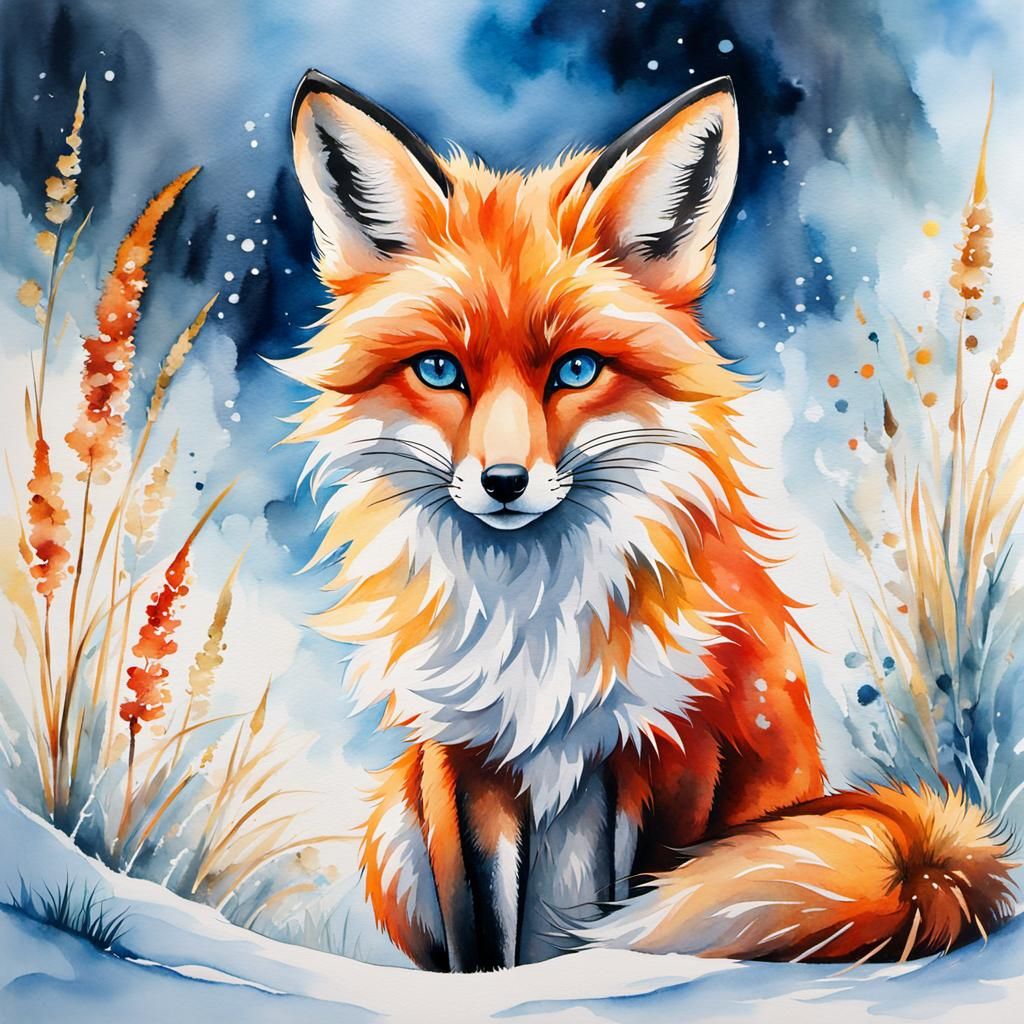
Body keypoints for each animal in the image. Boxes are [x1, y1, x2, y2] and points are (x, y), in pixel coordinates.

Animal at [283, 68, 1015, 972]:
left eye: (576, 370)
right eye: (440, 371)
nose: (502, 482)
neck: (538, 623)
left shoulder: (676, 750)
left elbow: (639, 898)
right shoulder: (463, 759)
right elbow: (481, 939)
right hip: (394, 825)